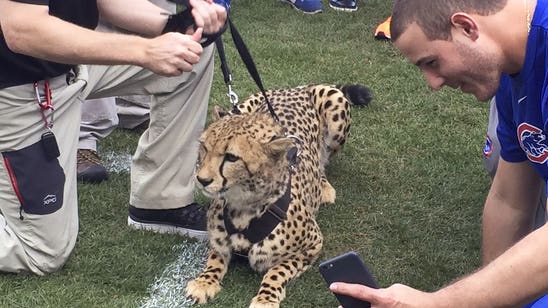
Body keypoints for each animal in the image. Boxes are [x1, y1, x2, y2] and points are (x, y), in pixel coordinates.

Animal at [185, 83, 372, 306]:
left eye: (231, 157)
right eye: (204, 148)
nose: (201, 179)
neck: (243, 205)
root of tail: (297, 87)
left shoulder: (313, 244)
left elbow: (277, 270)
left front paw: (265, 298)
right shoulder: (218, 241)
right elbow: (215, 258)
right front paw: (204, 282)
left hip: (336, 115)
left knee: (323, 159)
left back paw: (324, 187)